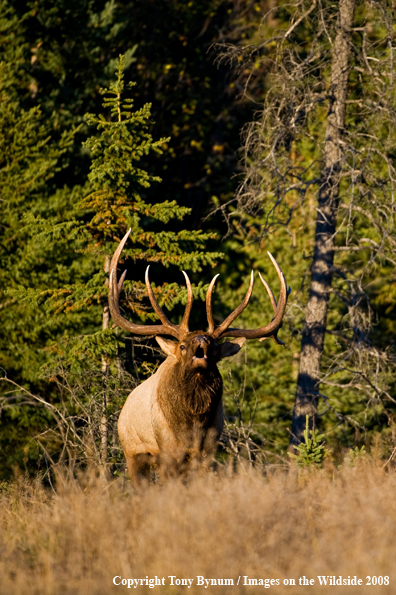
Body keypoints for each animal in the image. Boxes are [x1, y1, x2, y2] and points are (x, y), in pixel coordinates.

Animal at [110, 229, 290, 484]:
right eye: (183, 345)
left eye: (214, 345)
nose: (201, 342)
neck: (194, 425)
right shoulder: (168, 452)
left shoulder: (208, 451)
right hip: (132, 453)